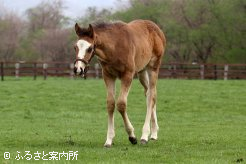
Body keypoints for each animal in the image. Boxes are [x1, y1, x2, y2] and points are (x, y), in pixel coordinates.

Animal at [73, 19, 165, 147]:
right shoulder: (108, 76)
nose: (78, 69)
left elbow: (121, 104)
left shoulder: (127, 75)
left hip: (153, 68)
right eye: (75, 47)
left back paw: (145, 135)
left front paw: (132, 136)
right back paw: (154, 133)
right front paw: (109, 139)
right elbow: (110, 104)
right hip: (141, 71)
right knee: (149, 93)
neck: (114, 47)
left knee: (151, 97)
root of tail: (157, 29)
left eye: (90, 48)